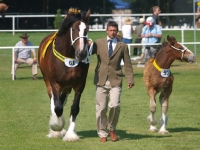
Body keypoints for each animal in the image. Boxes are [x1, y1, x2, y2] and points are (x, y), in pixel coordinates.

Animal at [38, 8, 90, 142]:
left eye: (87, 30)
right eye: (74, 29)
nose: (81, 53)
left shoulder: (79, 85)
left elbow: (75, 108)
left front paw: (71, 134)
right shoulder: (55, 84)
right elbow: (57, 108)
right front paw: (56, 127)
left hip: (67, 87)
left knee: (61, 101)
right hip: (48, 81)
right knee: (54, 103)